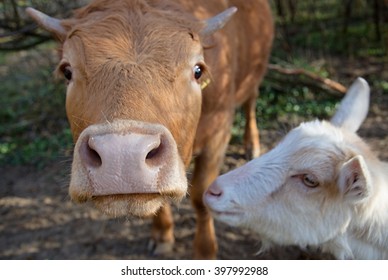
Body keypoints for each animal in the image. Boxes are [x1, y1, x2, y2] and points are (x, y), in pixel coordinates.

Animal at [26, 0, 272, 258]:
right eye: (67, 71)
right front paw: (162, 235)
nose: (122, 157)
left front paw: (205, 252)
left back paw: (252, 144)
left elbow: (201, 198)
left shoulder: (218, 134)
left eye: (198, 70)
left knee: (250, 102)